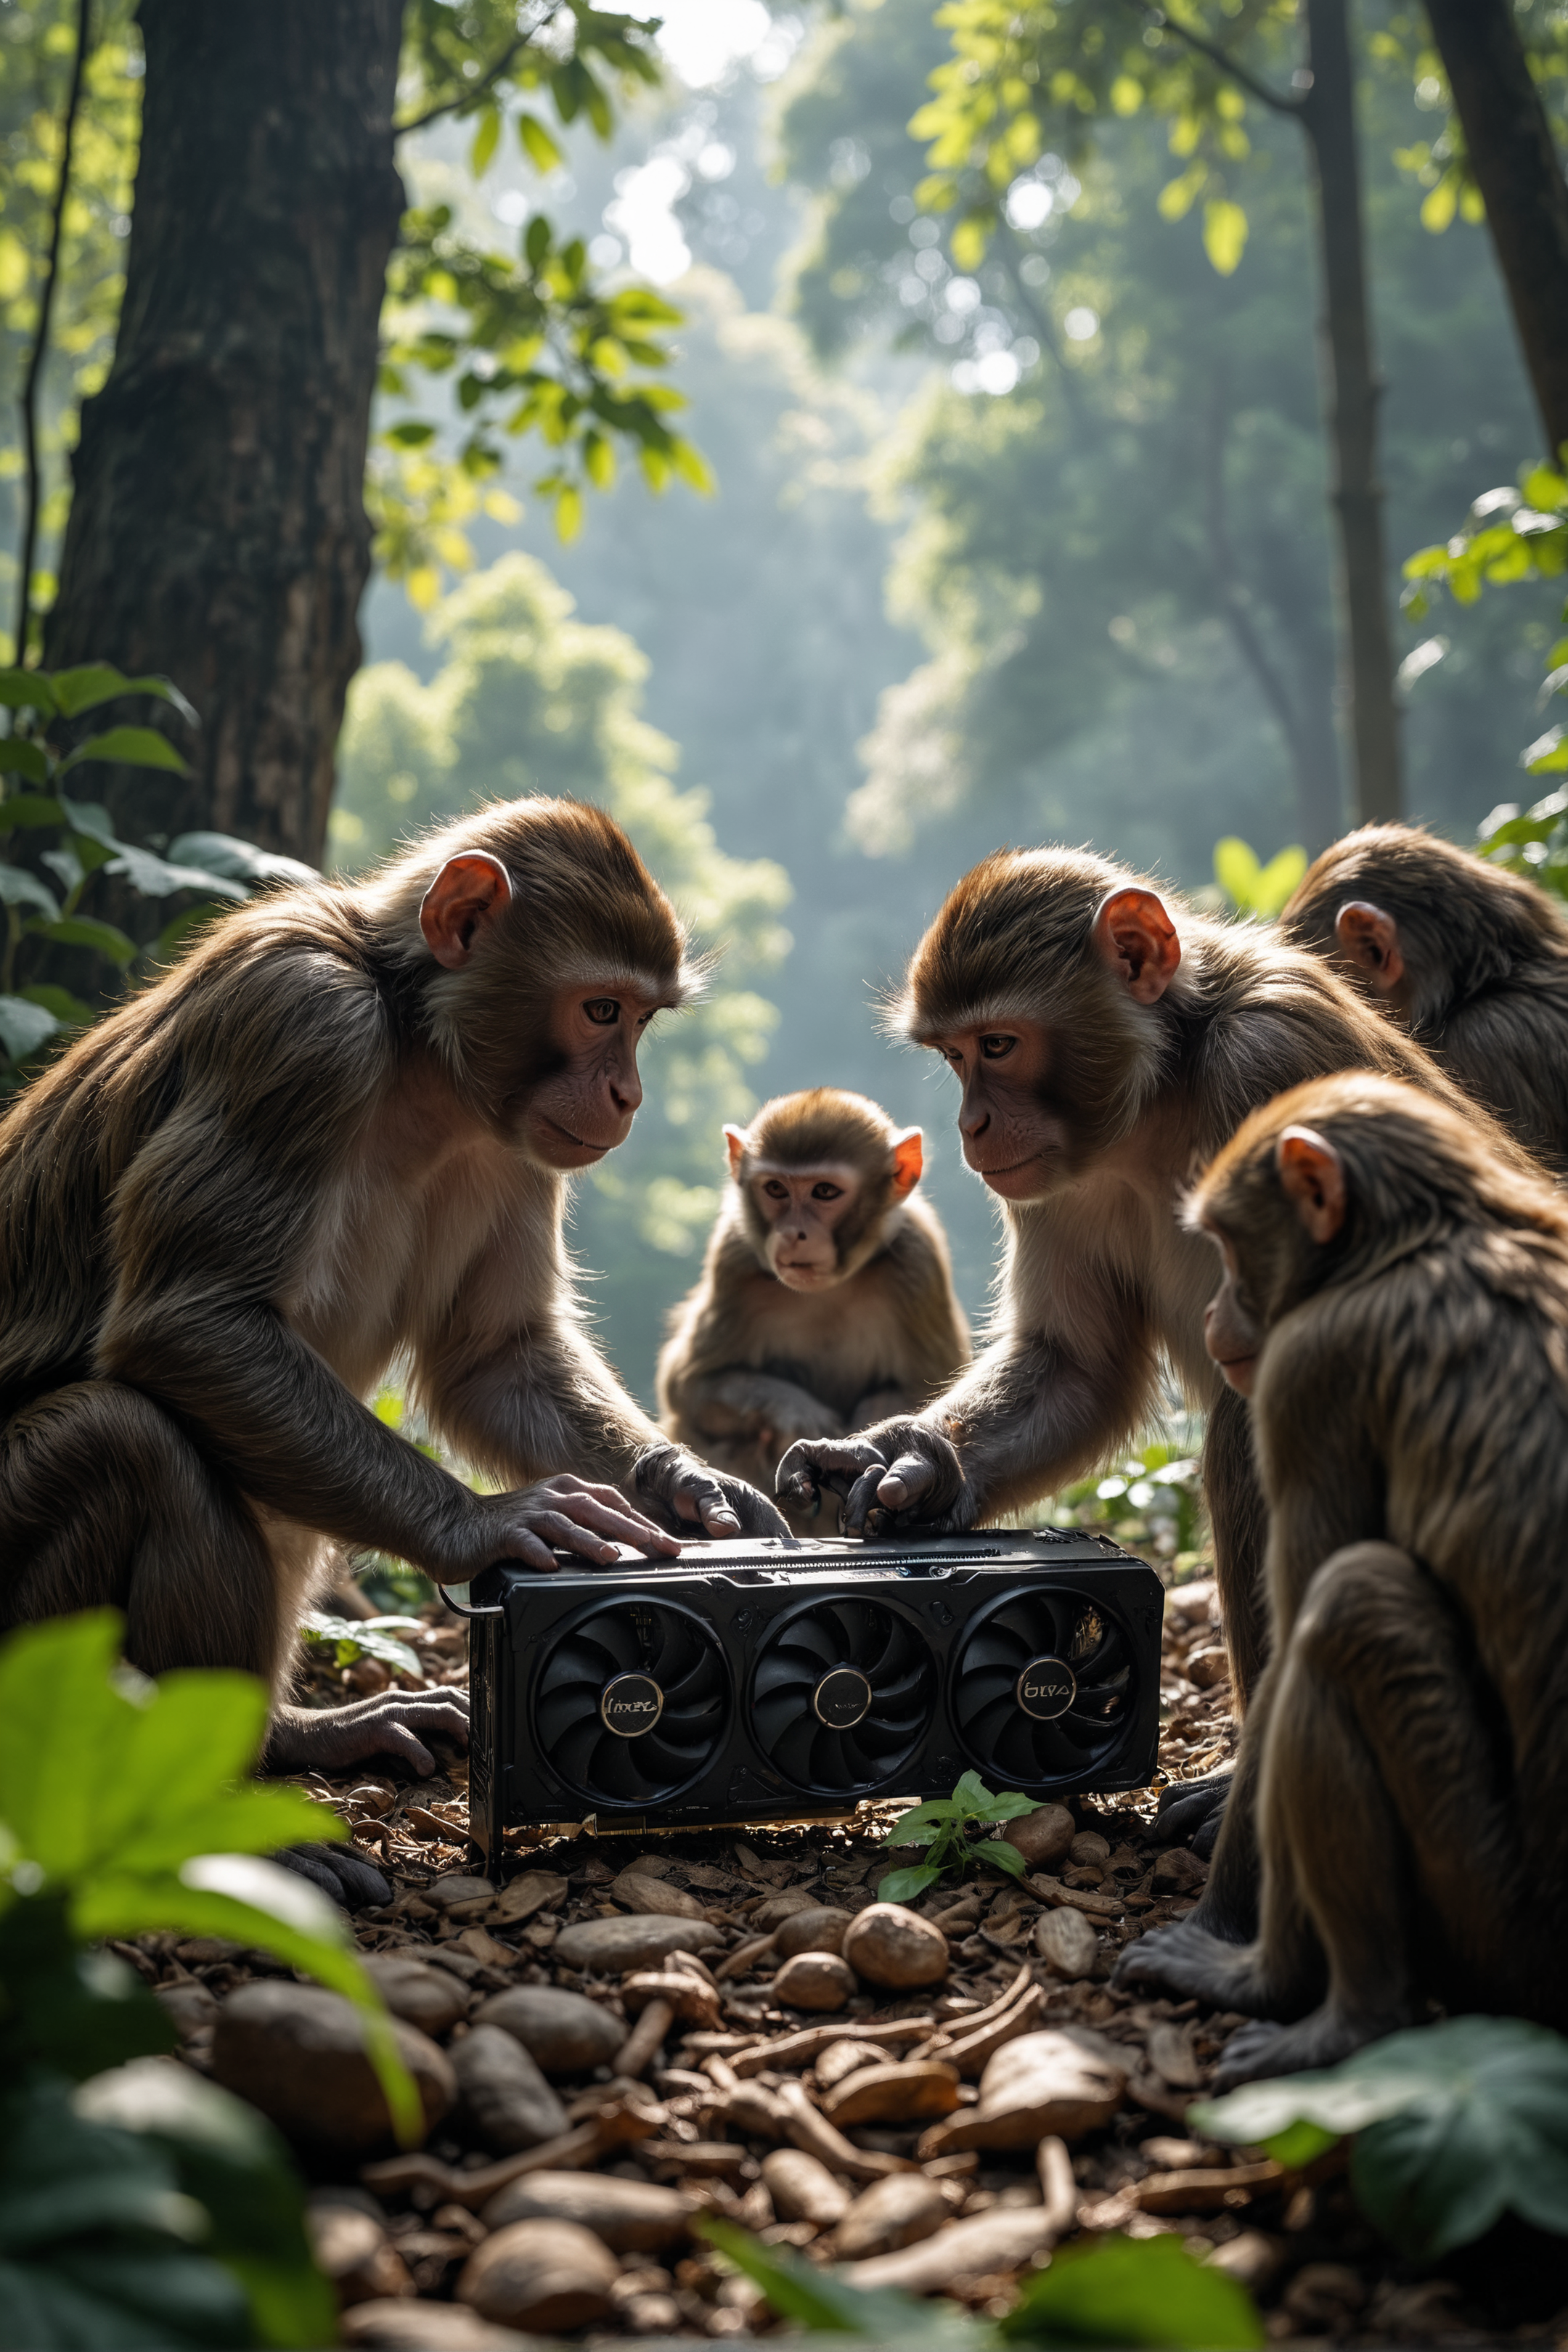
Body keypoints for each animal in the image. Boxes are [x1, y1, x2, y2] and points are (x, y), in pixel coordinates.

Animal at [0, 795, 786, 1794]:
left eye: (642, 1020)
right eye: (602, 1009)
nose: (627, 1094)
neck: (420, 1056)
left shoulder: (515, 1141)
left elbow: (492, 1362)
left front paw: (687, 1485)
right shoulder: (303, 1022)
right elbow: (188, 1322)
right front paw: (486, 1524)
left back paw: (298, 1739)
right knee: (124, 1441)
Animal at [656, 1089, 971, 1532]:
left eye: (824, 1192)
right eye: (775, 1189)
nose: (793, 1233)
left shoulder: (917, 1261)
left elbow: (933, 1387)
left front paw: (868, 1428)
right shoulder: (734, 1259)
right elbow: (688, 1387)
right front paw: (792, 1409)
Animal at [775, 847, 1514, 1890]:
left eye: (998, 1045)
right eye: (954, 1057)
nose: (972, 1125)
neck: (1164, 1099)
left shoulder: (1276, 1062)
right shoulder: (1054, 1180)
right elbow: (1077, 1371)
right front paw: (904, 1467)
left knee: (1255, 1430)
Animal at [1116, 1071, 1568, 2082]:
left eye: (1228, 1245)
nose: (1214, 1313)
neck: (1428, 1235)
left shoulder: (1308, 1374)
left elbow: (1298, 1656)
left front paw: (1241, 1956)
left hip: (1490, 1912)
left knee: (1353, 1607)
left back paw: (1355, 2014)